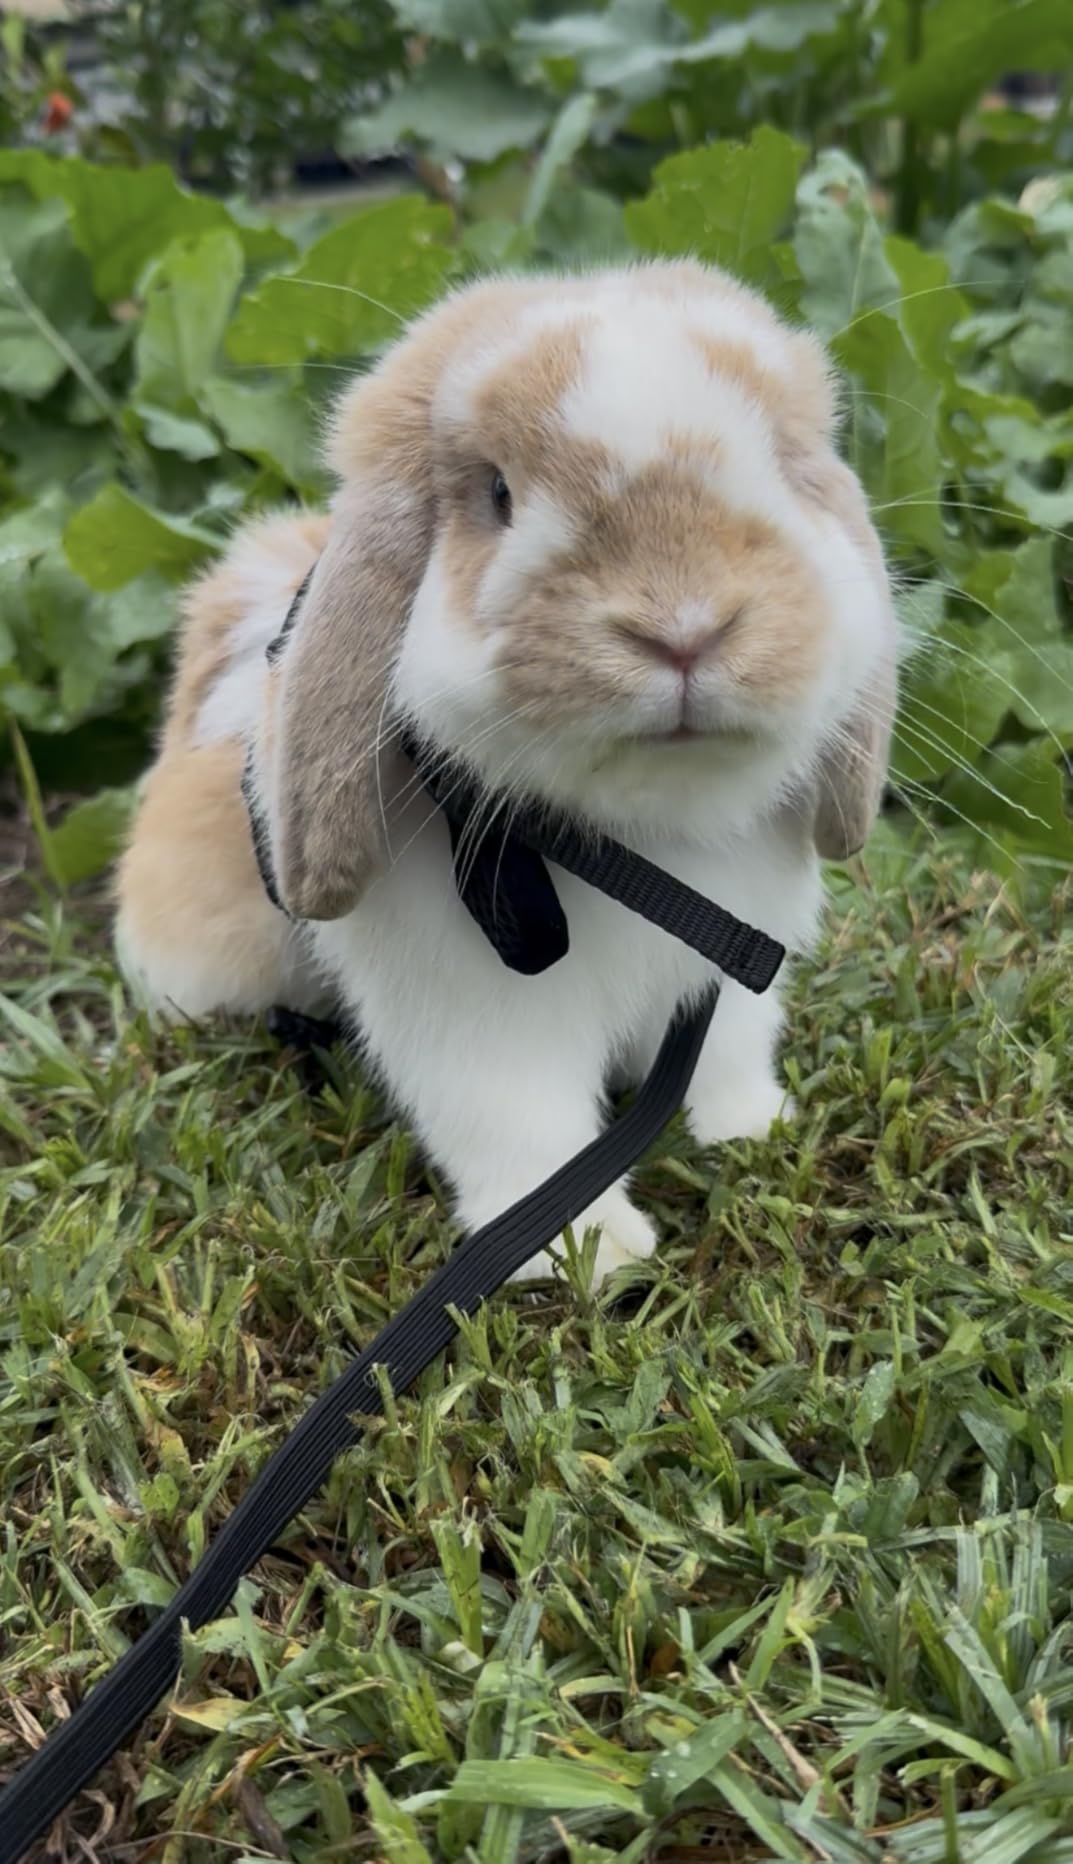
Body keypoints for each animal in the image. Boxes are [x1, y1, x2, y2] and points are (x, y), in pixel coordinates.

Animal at [115, 260, 898, 1287]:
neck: (642, 841)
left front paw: (749, 1130)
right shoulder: (482, 1022)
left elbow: (728, 1060)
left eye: (777, 464)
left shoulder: (720, 988)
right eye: (497, 494)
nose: (683, 627)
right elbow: (527, 1133)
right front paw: (588, 1253)